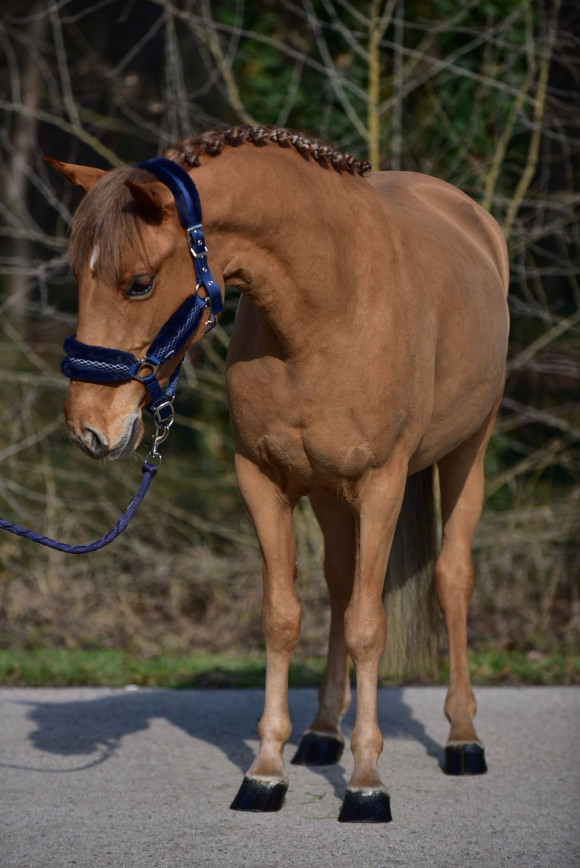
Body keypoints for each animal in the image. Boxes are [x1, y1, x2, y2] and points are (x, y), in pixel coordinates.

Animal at [47, 125, 509, 823]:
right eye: (77, 274)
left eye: (139, 283)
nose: (88, 427)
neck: (328, 308)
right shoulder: (263, 480)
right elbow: (283, 617)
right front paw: (266, 770)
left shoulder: (382, 485)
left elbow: (369, 626)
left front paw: (367, 782)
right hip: (330, 494)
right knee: (341, 586)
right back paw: (321, 733)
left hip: (465, 458)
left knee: (451, 580)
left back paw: (463, 738)